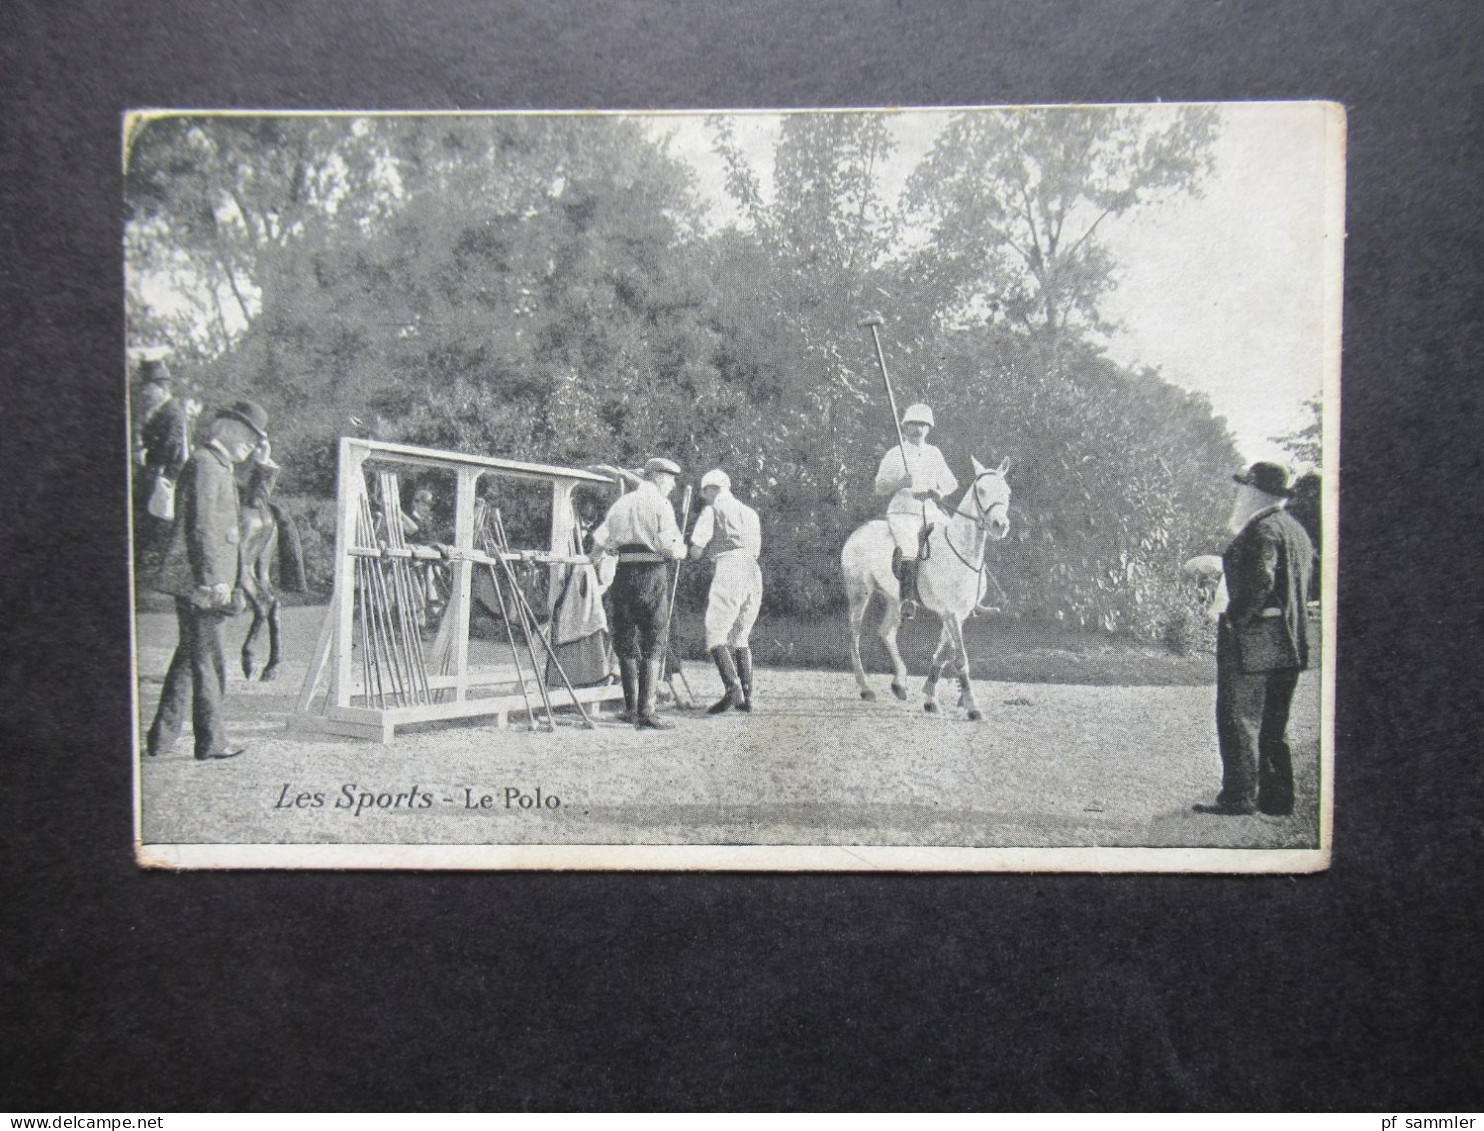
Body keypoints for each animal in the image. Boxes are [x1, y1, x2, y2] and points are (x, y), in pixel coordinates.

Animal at [842, 460, 1015, 718]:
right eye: (982, 490)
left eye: (1007, 492)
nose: (1000, 526)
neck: (962, 551)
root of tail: (858, 531)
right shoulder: (951, 613)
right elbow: (959, 657)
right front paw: (972, 705)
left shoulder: (958, 613)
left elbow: (944, 653)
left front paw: (931, 697)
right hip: (858, 593)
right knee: (854, 638)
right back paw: (865, 688)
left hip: (894, 598)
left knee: (886, 633)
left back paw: (899, 683)